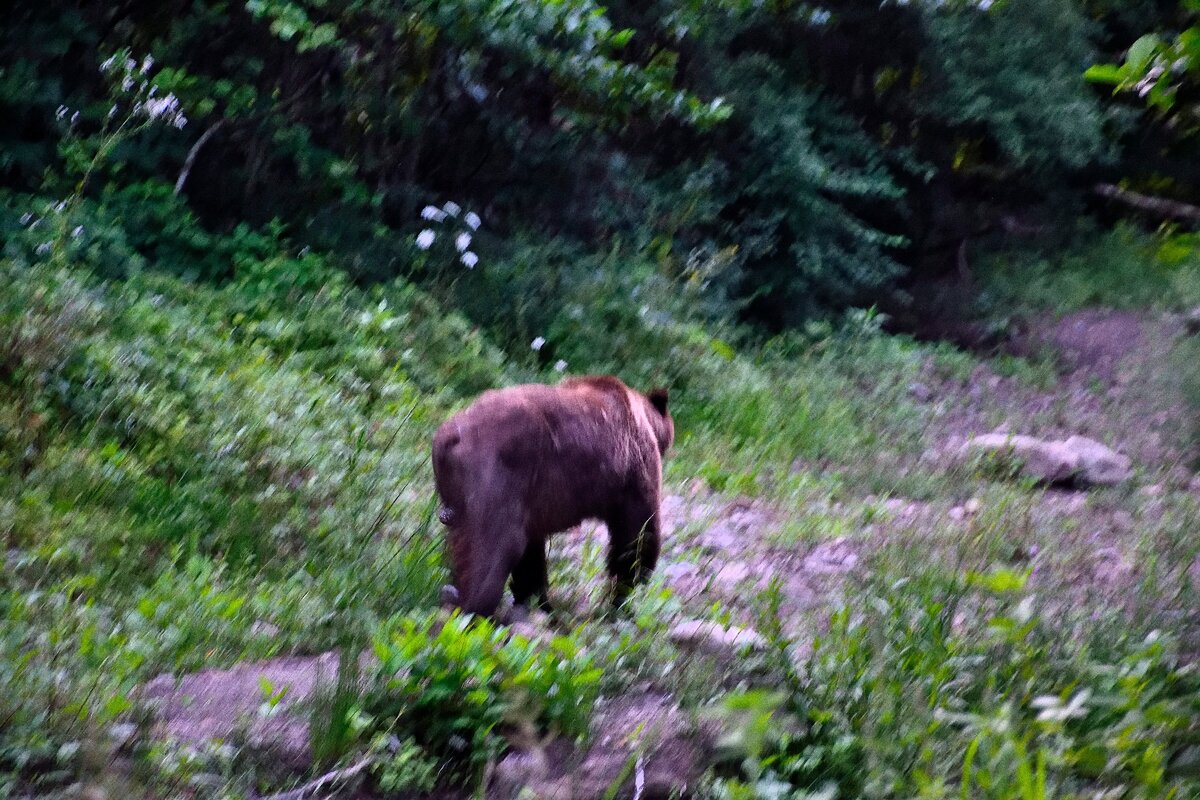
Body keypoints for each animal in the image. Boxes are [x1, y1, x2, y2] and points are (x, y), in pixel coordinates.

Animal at [432, 376, 676, 618]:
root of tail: (451, 436)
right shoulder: (632, 465)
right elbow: (638, 532)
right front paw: (624, 595)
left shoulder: (531, 498)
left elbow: (532, 555)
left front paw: (536, 600)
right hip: (496, 474)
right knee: (496, 547)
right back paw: (473, 608)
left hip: (458, 491)